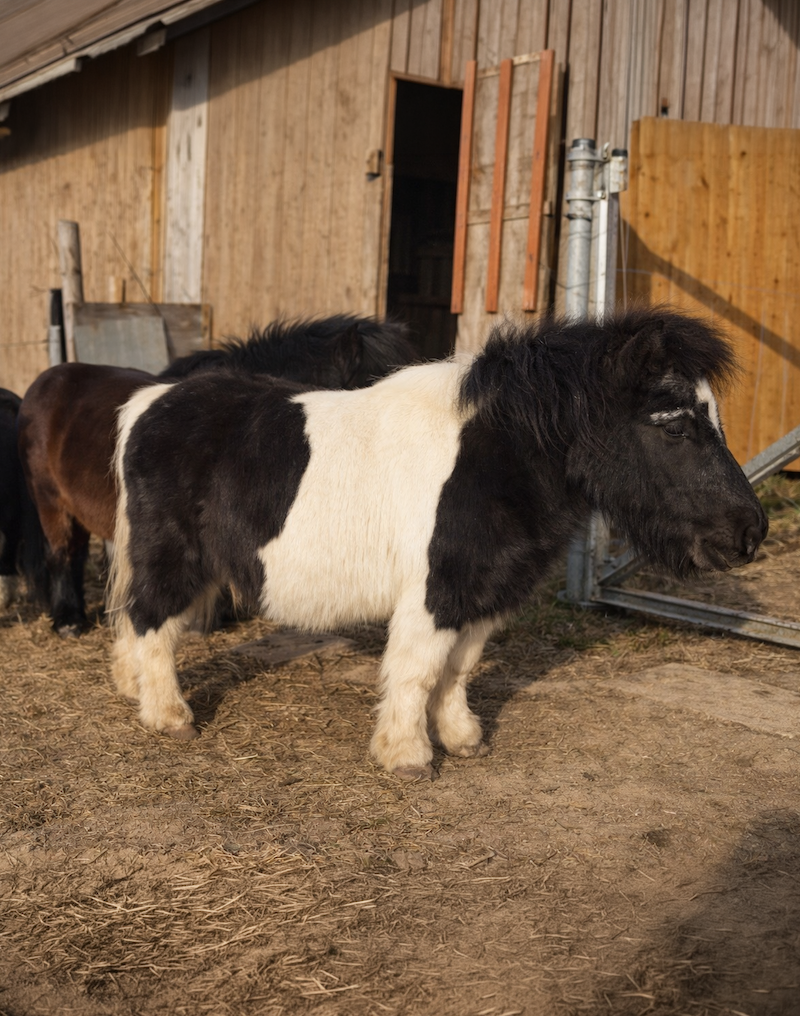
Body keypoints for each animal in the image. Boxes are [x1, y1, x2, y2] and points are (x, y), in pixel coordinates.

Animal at [107, 308, 767, 780]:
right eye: (675, 426)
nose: (750, 532)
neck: (494, 457)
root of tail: (151, 402)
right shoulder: (436, 592)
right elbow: (419, 670)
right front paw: (407, 756)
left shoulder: (484, 590)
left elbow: (458, 668)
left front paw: (462, 738)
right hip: (172, 555)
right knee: (151, 619)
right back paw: (168, 716)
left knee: (135, 619)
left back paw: (134, 690)